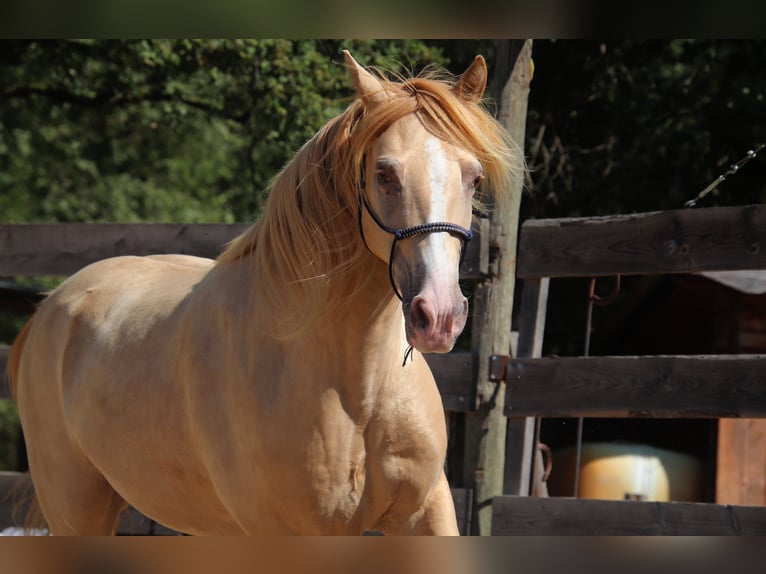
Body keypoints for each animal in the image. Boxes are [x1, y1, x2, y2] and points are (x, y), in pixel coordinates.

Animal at [7, 50, 517, 535]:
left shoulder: (426, 511)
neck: (359, 391)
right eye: (384, 174)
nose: (440, 315)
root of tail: (54, 306)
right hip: (76, 508)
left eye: (473, 177)